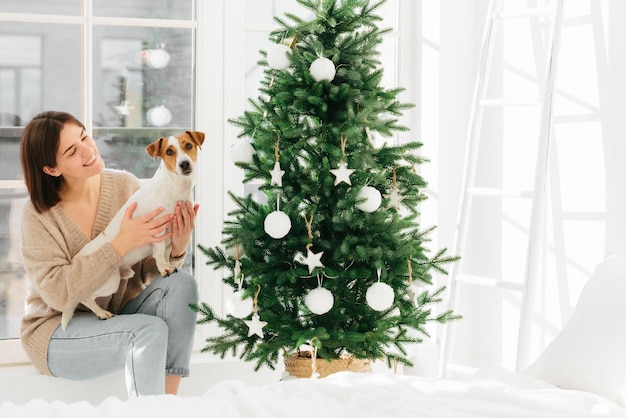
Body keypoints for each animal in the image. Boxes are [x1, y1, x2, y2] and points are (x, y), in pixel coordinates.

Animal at [60, 129, 204, 332]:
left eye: (189, 145)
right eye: (169, 151)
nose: (184, 164)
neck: (175, 187)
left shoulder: (171, 235)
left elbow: (165, 254)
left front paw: (168, 265)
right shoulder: (157, 230)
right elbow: (159, 254)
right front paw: (165, 268)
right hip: (110, 281)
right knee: (85, 298)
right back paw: (101, 313)